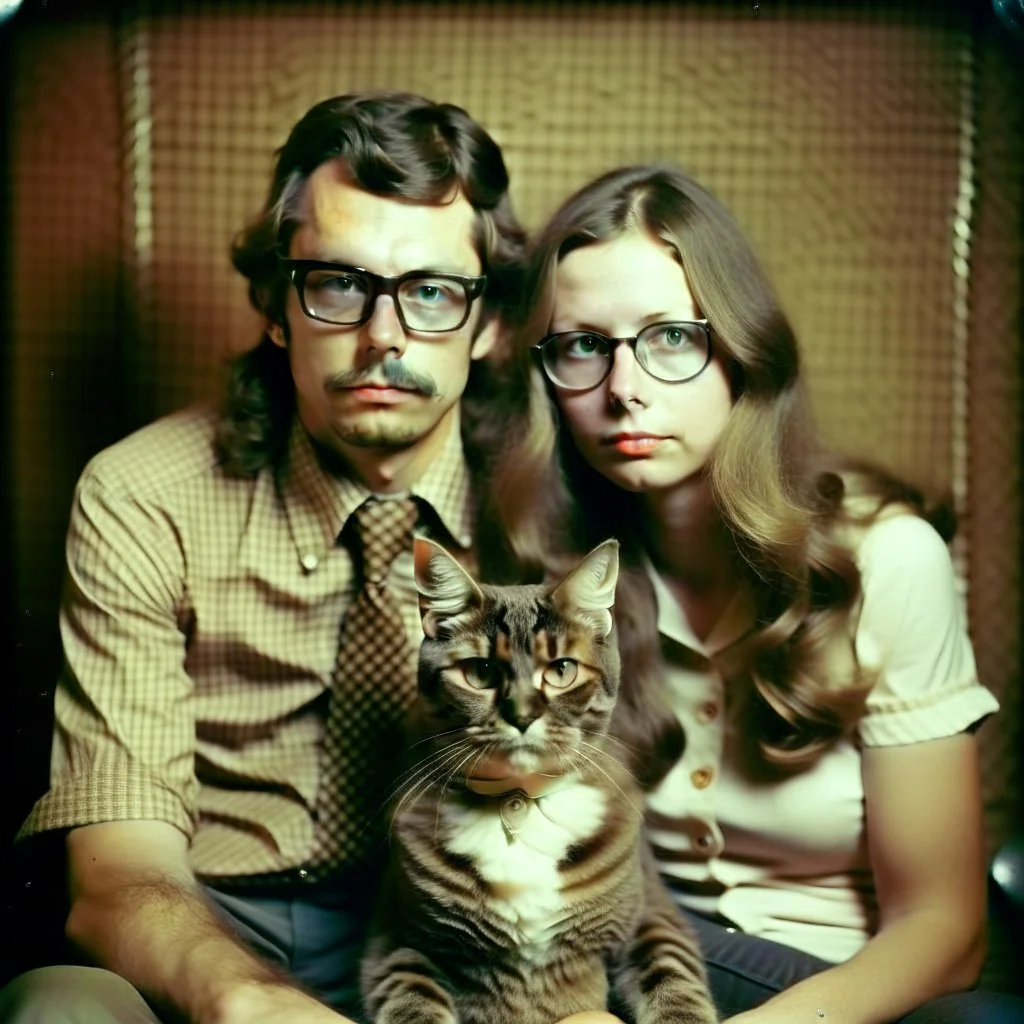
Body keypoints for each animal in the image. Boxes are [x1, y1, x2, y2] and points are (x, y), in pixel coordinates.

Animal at [362, 536, 720, 1024]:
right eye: (480, 673)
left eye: (562, 670)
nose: (522, 715)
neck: (519, 799)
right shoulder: (398, 939)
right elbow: (412, 1002)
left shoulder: (653, 916)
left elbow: (672, 981)